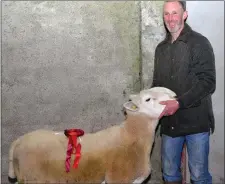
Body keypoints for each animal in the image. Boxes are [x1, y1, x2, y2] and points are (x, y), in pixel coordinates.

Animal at [7, 86, 177, 184]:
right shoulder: (118, 179)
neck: (132, 135)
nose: (174, 98)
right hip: (34, 179)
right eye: (148, 99)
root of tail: (18, 141)